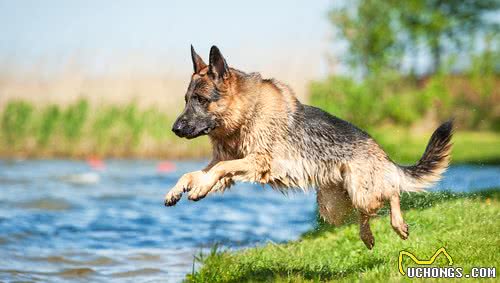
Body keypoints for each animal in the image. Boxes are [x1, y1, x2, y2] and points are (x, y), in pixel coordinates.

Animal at [165, 46, 454, 251]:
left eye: (201, 100)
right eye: (186, 100)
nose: (175, 129)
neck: (245, 113)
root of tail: (383, 154)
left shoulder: (257, 162)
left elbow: (219, 169)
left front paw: (200, 189)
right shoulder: (226, 165)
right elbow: (192, 173)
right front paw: (177, 190)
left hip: (362, 191)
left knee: (391, 192)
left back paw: (397, 223)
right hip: (332, 207)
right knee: (365, 213)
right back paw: (367, 236)